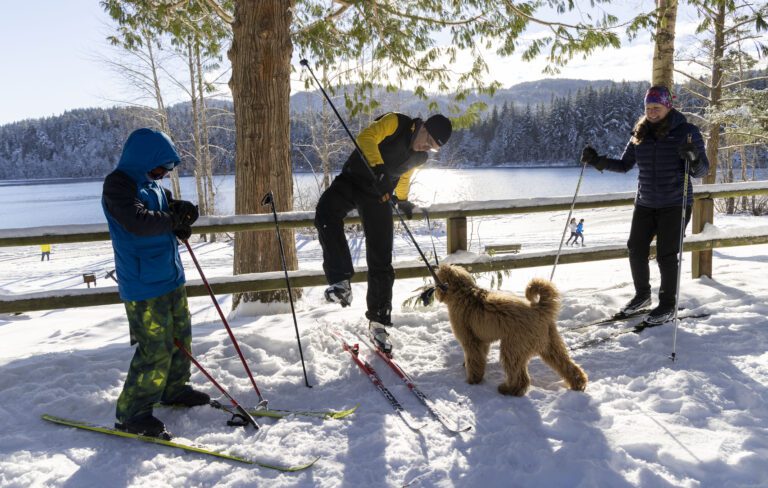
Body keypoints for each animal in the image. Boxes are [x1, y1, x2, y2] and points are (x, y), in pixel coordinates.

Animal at [432, 264, 588, 396]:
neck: (463, 293)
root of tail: (538, 310)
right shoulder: (482, 340)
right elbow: (480, 356)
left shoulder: (470, 340)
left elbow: (474, 359)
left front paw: (473, 380)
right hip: (551, 345)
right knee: (567, 365)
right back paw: (578, 383)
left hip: (513, 347)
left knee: (520, 377)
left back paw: (508, 389)